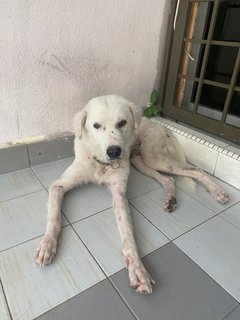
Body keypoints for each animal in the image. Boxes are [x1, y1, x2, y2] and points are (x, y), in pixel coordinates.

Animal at [34, 95, 230, 296]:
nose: (114, 151)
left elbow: (128, 236)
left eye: (122, 122)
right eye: (96, 125)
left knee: (196, 170)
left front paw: (138, 270)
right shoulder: (58, 186)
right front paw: (47, 245)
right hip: (140, 162)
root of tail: (160, 125)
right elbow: (54, 218)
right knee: (168, 179)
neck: (102, 163)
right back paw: (170, 199)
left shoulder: (119, 195)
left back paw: (218, 192)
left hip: (154, 158)